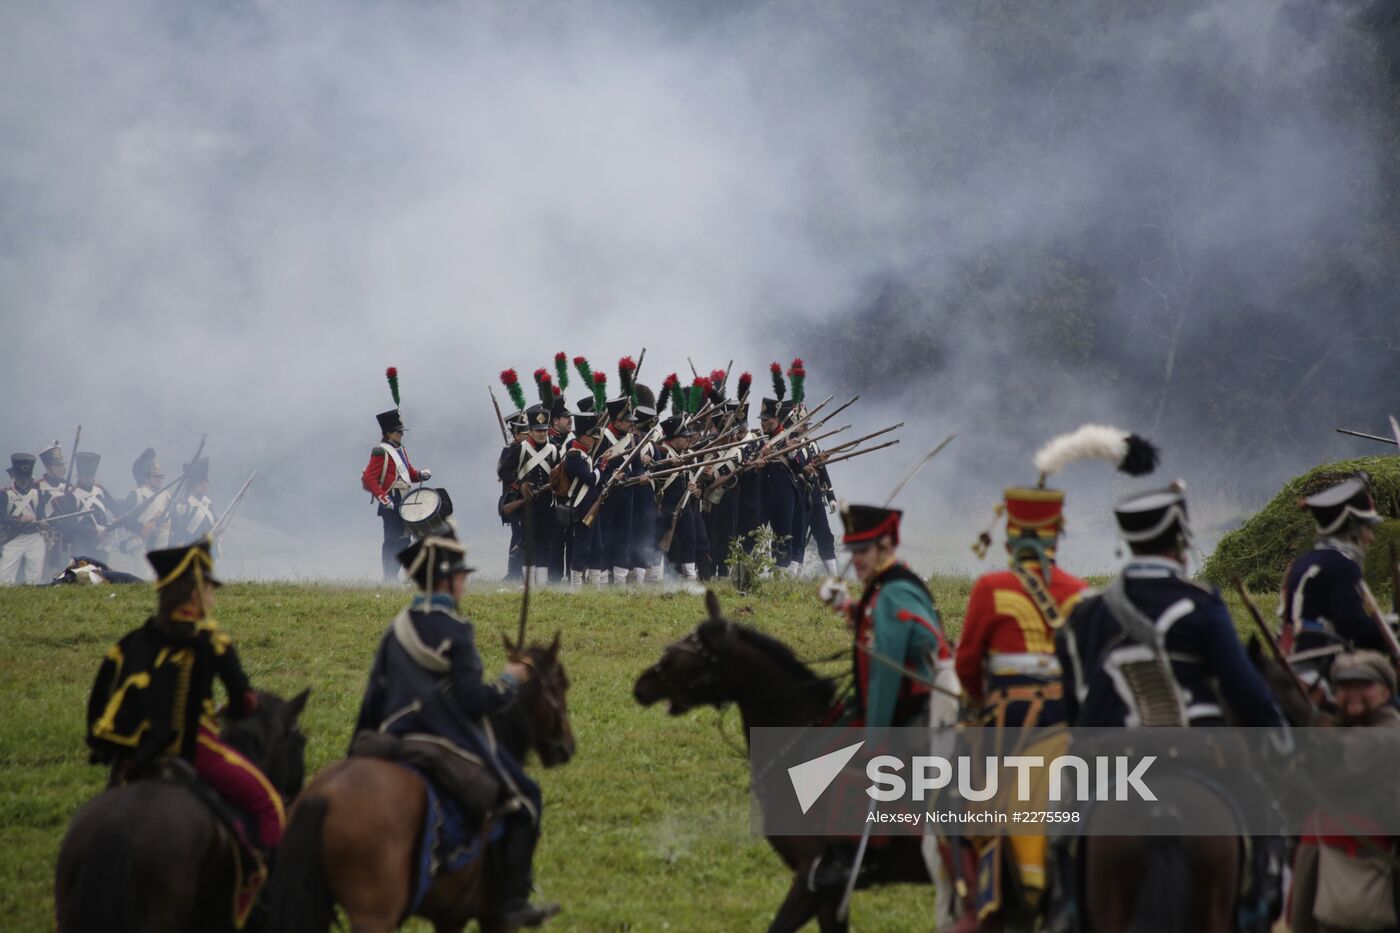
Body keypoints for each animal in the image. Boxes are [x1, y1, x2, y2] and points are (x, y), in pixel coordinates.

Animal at [260, 636, 571, 930]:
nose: (567, 745)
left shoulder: (449, 916)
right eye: (562, 685)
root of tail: (322, 797)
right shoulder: (491, 918)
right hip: (373, 915)